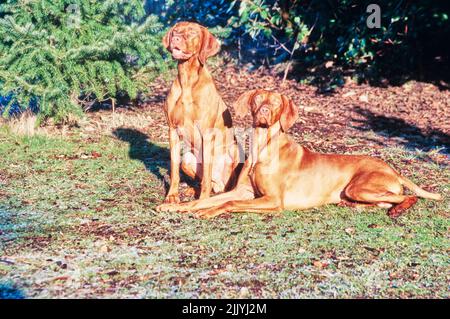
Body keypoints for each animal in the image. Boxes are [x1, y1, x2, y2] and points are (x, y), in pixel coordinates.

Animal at [156, 90, 442, 220]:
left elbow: (228, 204)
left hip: (360, 186)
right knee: (385, 201)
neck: (263, 146)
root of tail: (394, 169)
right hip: (357, 192)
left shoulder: (273, 200)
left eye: (276, 103)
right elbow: (202, 201)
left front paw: (208, 212)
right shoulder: (243, 191)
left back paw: (399, 209)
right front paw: (176, 206)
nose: (264, 110)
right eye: (258, 99)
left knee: (406, 196)